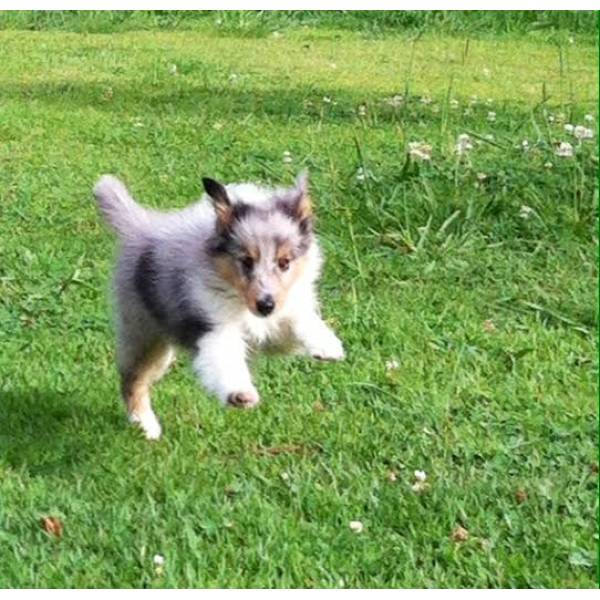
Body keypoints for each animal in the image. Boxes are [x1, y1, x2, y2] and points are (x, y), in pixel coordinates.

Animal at [94, 171, 346, 438]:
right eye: (246, 261)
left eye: (284, 262)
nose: (265, 305)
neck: (240, 300)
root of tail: (141, 227)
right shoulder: (213, 325)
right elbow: (225, 358)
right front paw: (240, 394)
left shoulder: (277, 329)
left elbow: (299, 316)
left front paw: (327, 345)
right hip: (144, 334)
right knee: (132, 378)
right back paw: (146, 425)